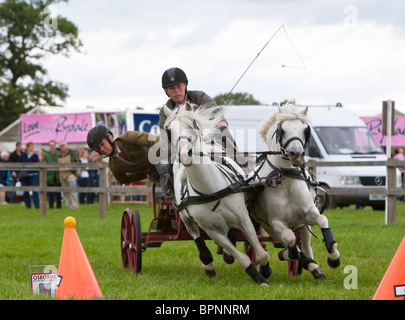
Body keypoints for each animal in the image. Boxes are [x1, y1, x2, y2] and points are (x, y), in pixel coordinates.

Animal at [163, 104, 270, 284]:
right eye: (168, 130)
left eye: (193, 124)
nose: (185, 153)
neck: (210, 190)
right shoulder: (213, 231)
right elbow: (242, 258)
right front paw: (258, 277)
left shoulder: (244, 220)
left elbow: (260, 252)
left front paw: (265, 271)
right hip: (185, 216)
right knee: (195, 234)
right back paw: (208, 264)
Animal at [249, 105, 338, 278]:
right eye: (282, 130)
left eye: (305, 129)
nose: (297, 155)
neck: (287, 179)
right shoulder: (276, 223)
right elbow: (290, 242)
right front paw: (287, 255)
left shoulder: (308, 213)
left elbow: (323, 220)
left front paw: (334, 258)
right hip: (267, 226)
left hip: (302, 226)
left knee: (306, 246)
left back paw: (315, 268)